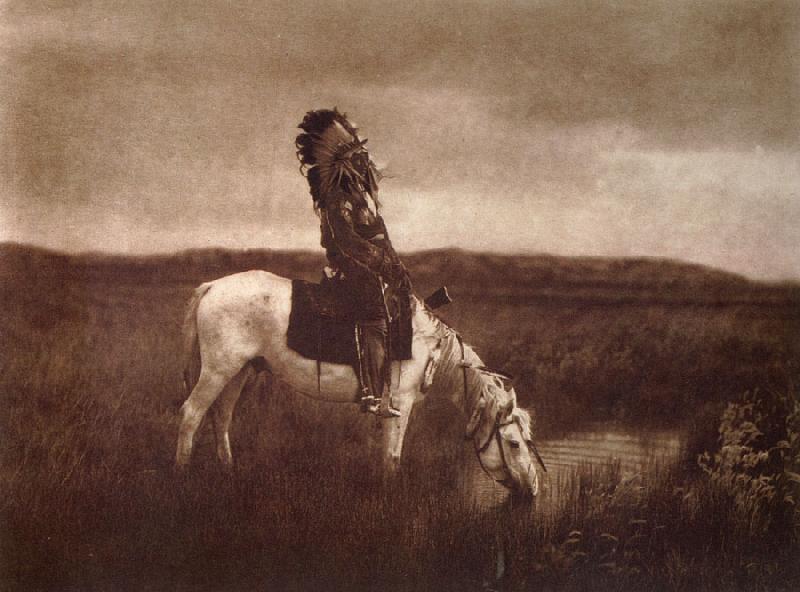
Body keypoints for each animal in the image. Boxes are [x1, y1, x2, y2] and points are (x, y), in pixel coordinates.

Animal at [175, 270, 536, 500]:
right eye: (514, 443)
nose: (532, 490)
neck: (427, 345)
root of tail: (211, 287)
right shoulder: (400, 403)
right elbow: (392, 456)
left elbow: (385, 453)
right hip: (218, 370)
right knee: (192, 414)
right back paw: (183, 476)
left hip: (238, 371)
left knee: (221, 416)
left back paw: (228, 471)